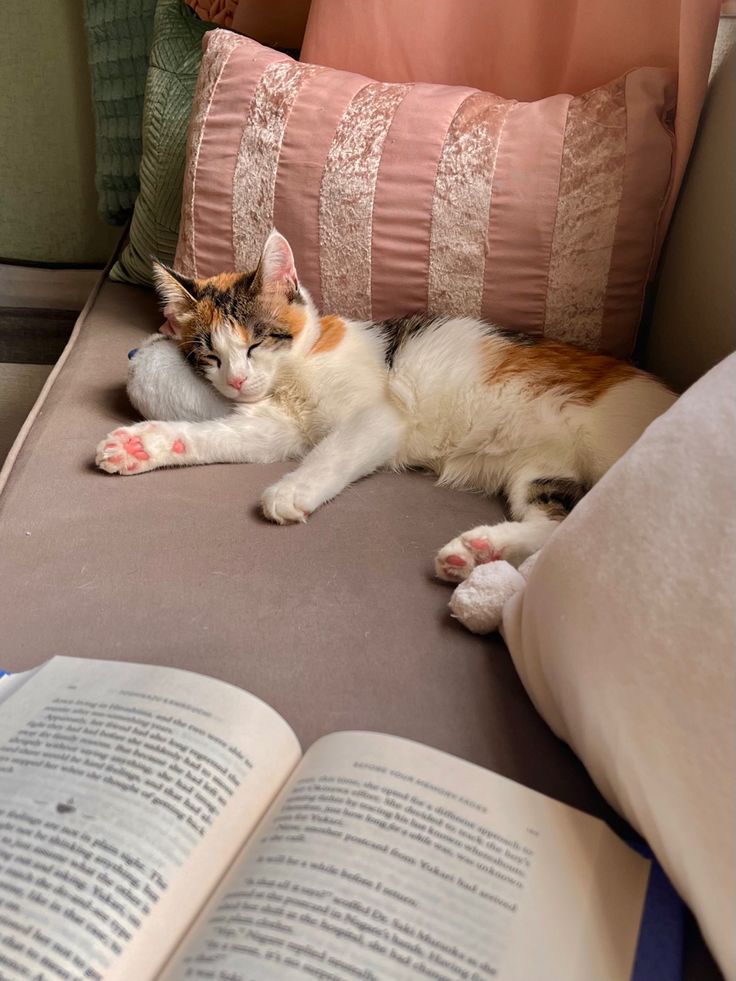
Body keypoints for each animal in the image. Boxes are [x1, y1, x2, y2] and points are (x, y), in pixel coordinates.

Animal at [95, 230, 676, 580]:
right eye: (209, 355)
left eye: (256, 342)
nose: (237, 380)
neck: (297, 367)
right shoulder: (276, 426)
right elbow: (222, 436)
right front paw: (143, 445)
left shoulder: (379, 415)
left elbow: (330, 452)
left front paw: (291, 491)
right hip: (542, 471)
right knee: (557, 523)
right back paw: (477, 553)